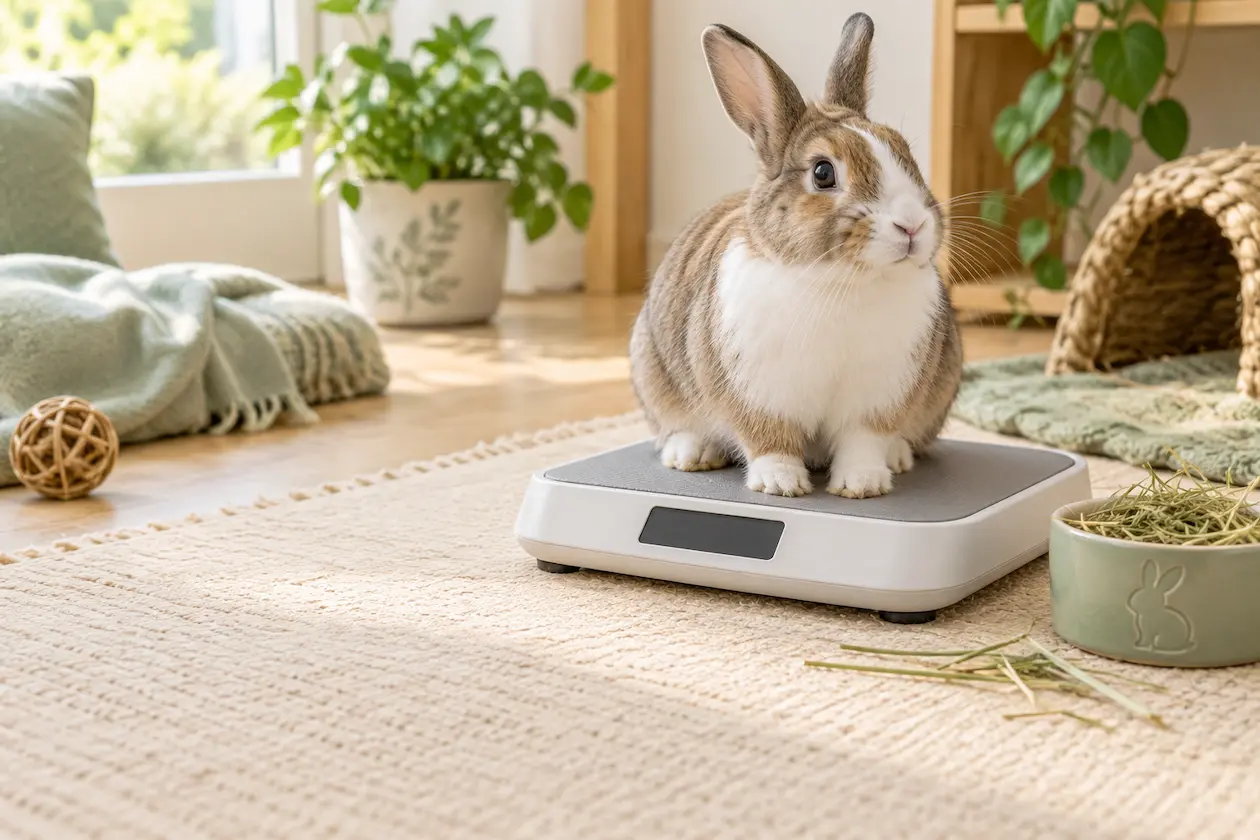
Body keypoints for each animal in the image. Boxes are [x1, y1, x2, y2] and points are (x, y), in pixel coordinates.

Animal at [629, 12, 962, 498]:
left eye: (905, 151)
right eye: (823, 173)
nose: (912, 225)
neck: (841, 280)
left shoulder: (877, 398)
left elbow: (863, 441)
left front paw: (863, 484)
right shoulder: (760, 396)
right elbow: (771, 440)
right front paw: (780, 484)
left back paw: (898, 458)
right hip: (654, 374)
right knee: (675, 426)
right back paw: (691, 454)